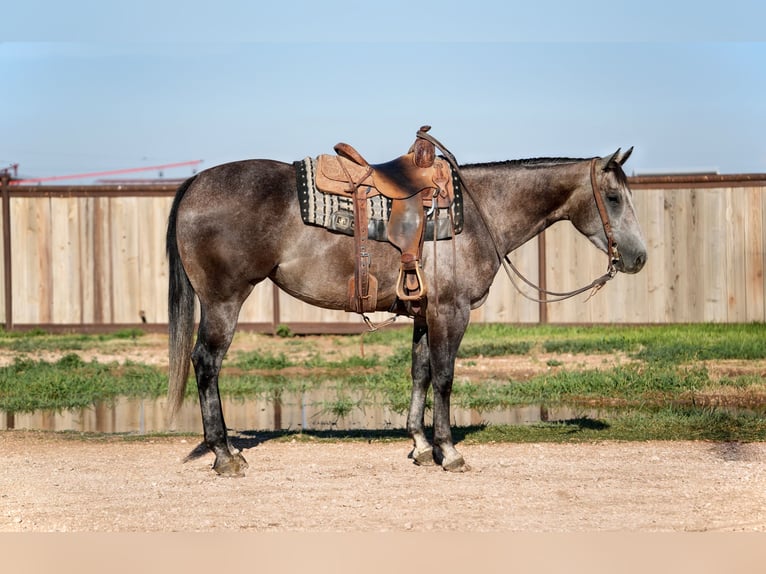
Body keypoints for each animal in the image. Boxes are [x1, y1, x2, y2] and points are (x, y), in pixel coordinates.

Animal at [166, 141, 647, 477]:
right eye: (614, 197)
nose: (639, 257)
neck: (477, 213)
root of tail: (196, 182)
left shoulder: (423, 314)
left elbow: (420, 373)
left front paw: (419, 445)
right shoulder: (451, 312)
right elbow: (445, 378)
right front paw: (448, 452)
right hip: (224, 302)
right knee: (205, 363)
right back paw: (225, 455)